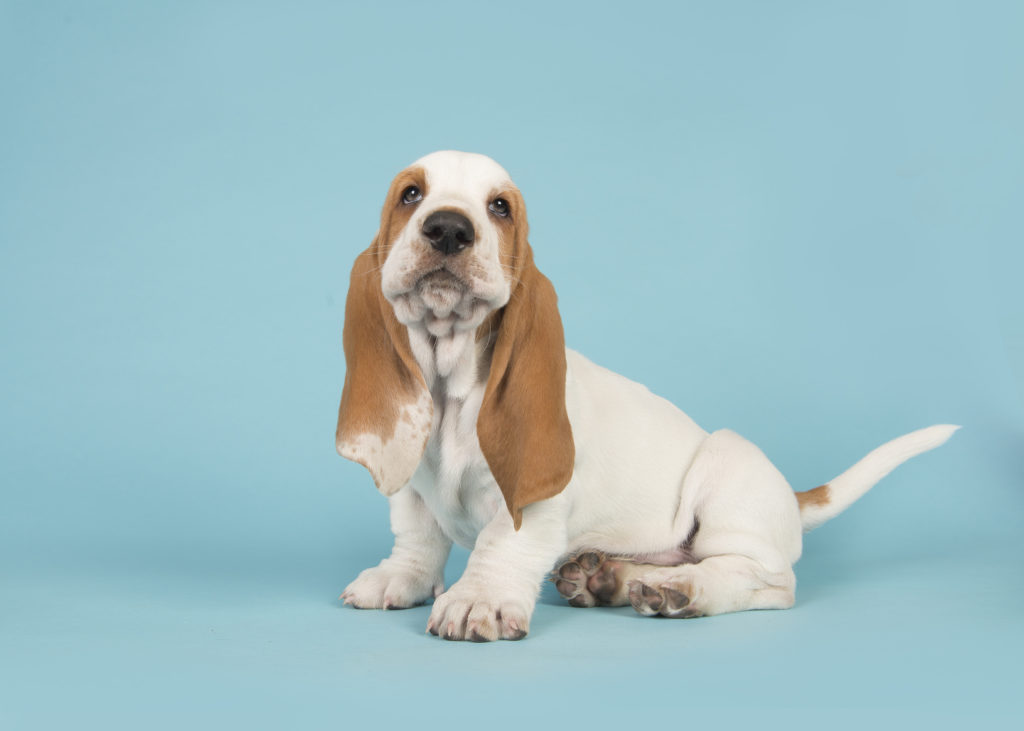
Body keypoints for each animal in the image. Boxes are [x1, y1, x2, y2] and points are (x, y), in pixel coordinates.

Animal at [335, 149, 958, 638]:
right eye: (411, 194)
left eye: (500, 207)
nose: (447, 228)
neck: (450, 386)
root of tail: (791, 495)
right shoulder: (411, 487)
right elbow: (417, 536)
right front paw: (401, 579)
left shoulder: (530, 503)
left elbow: (500, 543)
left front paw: (477, 600)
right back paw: (608, 578)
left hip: (727, 477)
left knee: (769, 580)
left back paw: (684, 589)